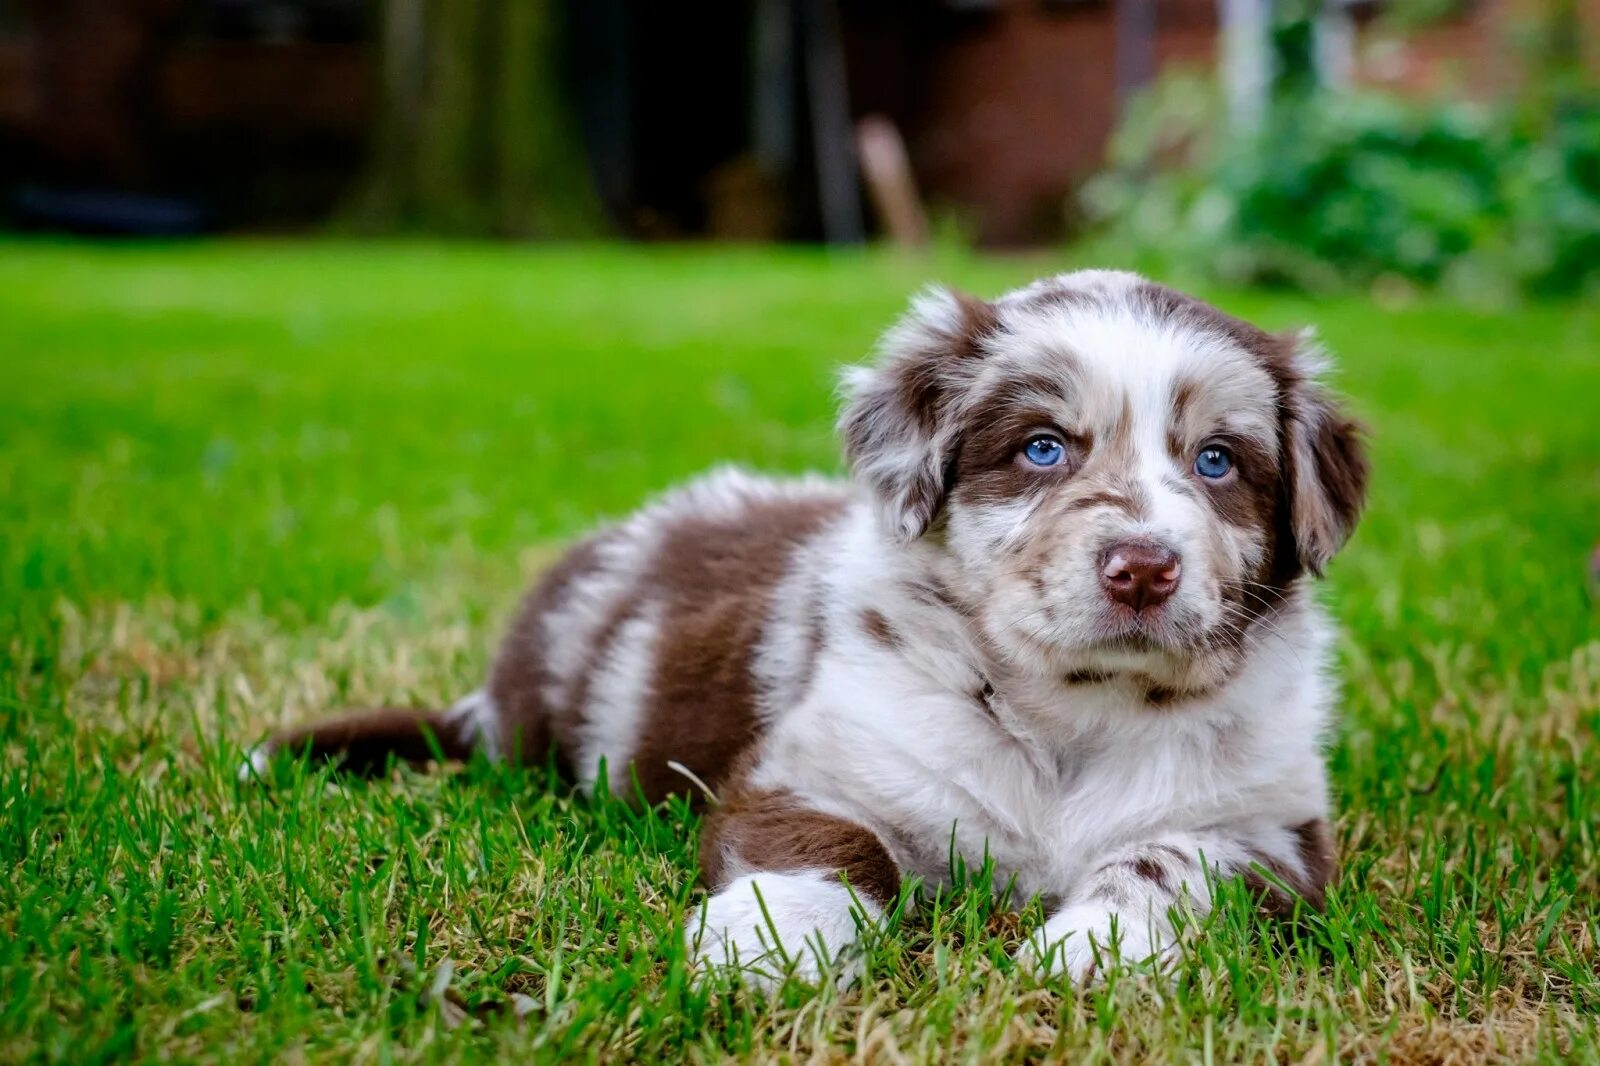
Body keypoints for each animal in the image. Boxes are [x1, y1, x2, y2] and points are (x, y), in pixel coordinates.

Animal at [256, 270, 1369, 985]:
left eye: (1217, 461)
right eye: (1043, 447)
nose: (1143, 568)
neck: (1070, 715)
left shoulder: (1271, 830)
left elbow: (1171, 862)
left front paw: (1096, 950)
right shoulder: (819, 766)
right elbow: (830, 852)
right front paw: (765, 947)